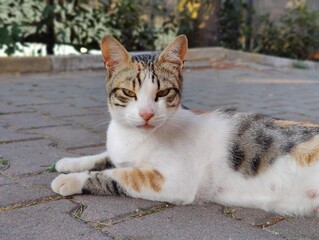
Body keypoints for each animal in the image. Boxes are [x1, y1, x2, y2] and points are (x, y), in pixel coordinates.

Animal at [50, 34, 319, 217]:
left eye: (163, 92)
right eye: (128, 92)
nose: (146, 114)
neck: (132, 137)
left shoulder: (172, 181)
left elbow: (116, 175)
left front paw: (70, 180)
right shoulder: (119, 152)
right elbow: (104, 156)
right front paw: (69, 163)